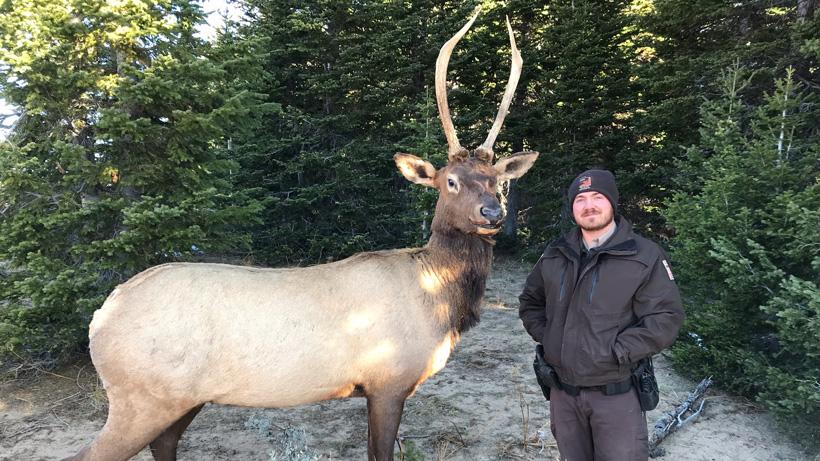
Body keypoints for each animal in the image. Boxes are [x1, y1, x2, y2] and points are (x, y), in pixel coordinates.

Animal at [65, 11, 538, 461]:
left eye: (498, 180)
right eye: (450, 182)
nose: (493, 213)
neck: (439, 299)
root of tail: (100, 318)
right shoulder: (387, 381)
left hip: (179, 400)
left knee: (164, 445)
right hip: (141, 398)